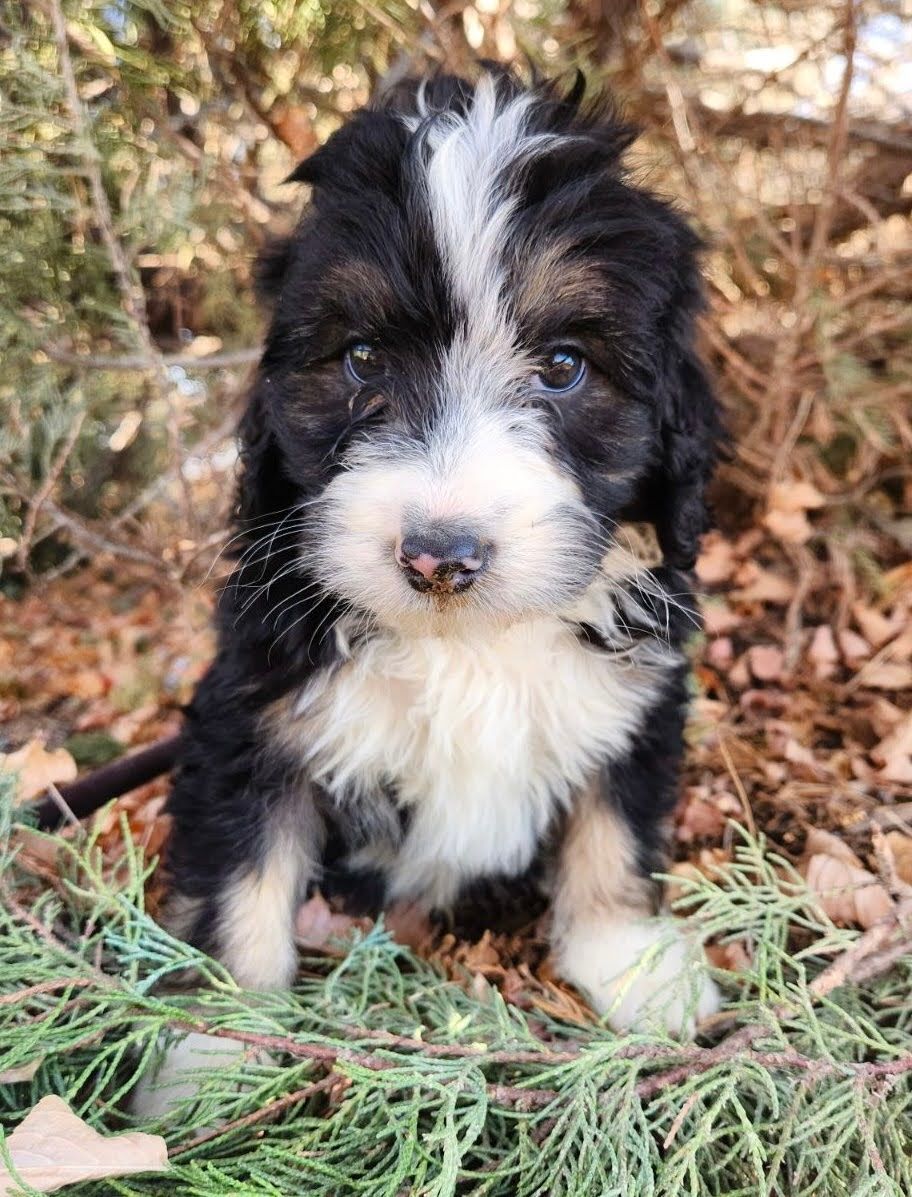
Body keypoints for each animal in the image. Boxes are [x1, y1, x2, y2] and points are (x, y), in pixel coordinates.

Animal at [161, 70, 718, 1034]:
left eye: (564, 366)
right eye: (361, 359)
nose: (438, 557)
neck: (467, 644)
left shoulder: (635, 693)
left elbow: (611, 825)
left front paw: (634, 963)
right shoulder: (257, 712)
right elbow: (241, 873)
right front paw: (215, 1040)